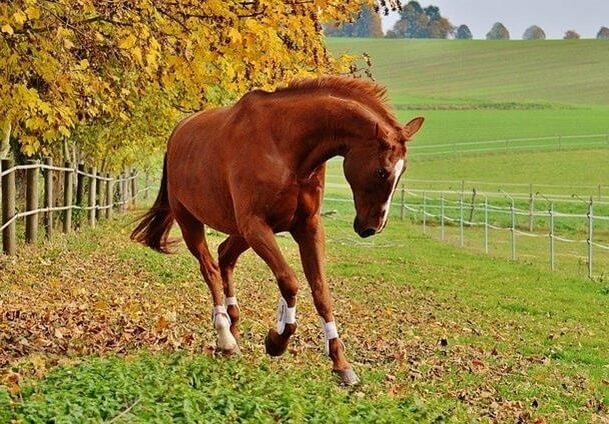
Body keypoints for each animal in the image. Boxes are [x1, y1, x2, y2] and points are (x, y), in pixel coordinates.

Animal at [131, 75, 422, 384]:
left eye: (402, 172)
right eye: (382, 171)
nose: (372, 227)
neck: (285, 146)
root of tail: (178, 133)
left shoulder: (307, 228)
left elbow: (321, 292)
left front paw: (341, 363)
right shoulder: (256, 226)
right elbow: (289, 281)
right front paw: (276, 340)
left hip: (240, 233)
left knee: (225, 256)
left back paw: (234, 329)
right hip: (191, 222)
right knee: (210, 269)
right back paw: (225, 337)